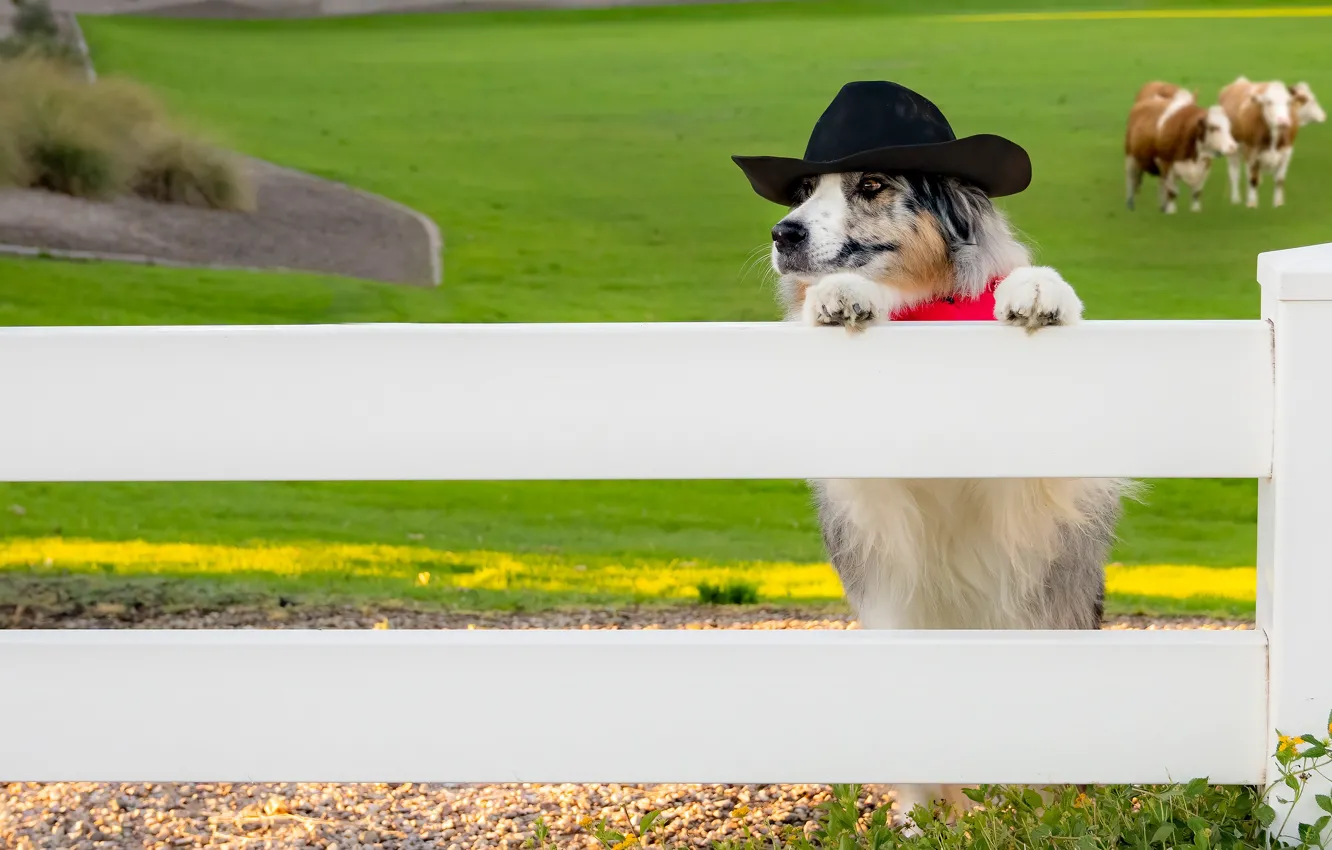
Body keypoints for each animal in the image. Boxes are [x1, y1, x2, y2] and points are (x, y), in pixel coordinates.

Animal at [1219, 77, 1325, 208]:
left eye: (1288, 102)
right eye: (1269, 102)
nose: (1283, 121)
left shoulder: (1287, 152)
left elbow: (1279, 180)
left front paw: (1278, 204)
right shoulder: (1252, 152)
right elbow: (1252, 179)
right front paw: (1252, 204)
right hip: (1234, 148)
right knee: (1234, 173)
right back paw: (1235, 200)